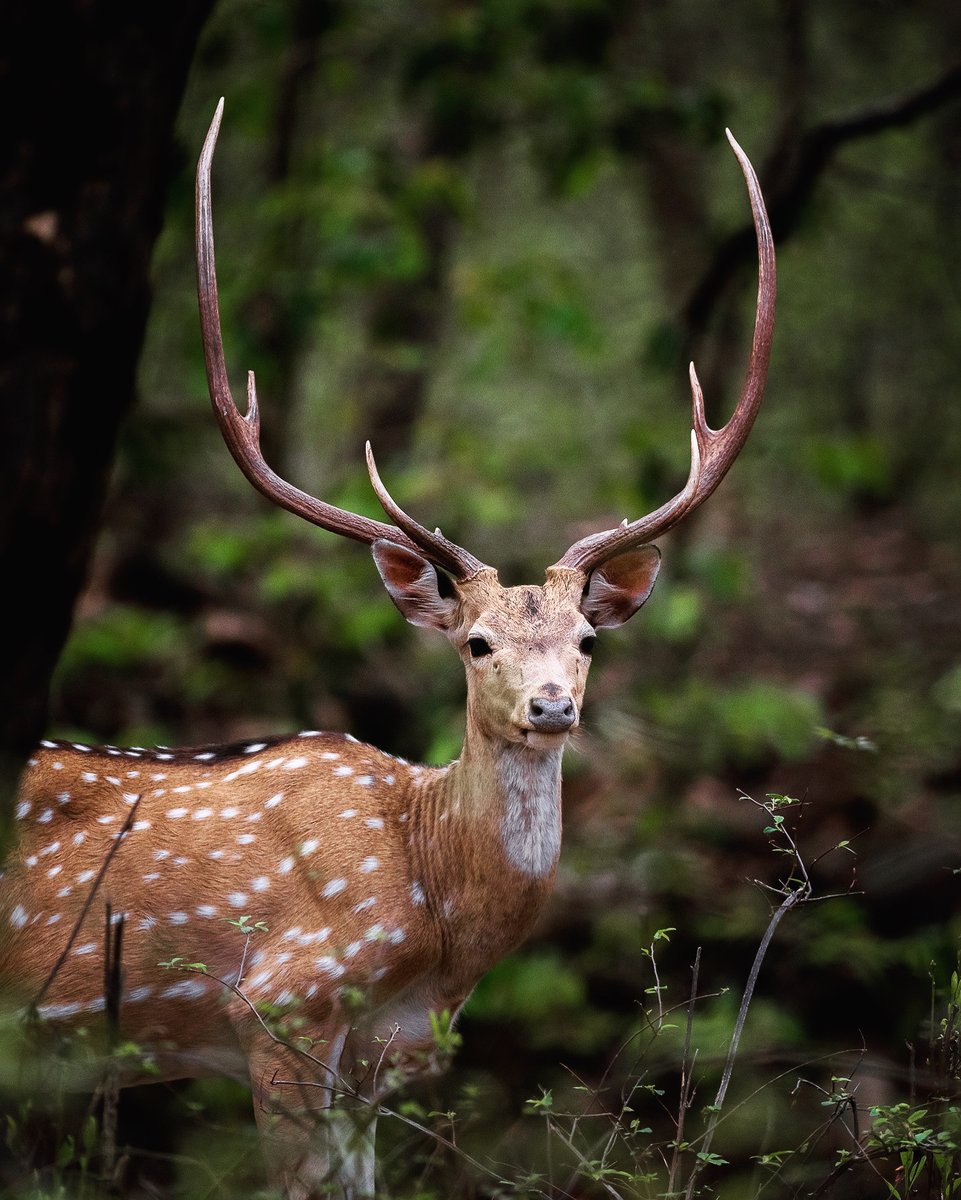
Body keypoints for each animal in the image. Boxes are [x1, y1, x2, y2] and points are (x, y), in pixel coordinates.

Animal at [0, 103, 772, 1200]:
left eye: (586, 638)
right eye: (477, 641)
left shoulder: (383, 1051)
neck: (434, 922)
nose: (552, 706)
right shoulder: (277, 1005)